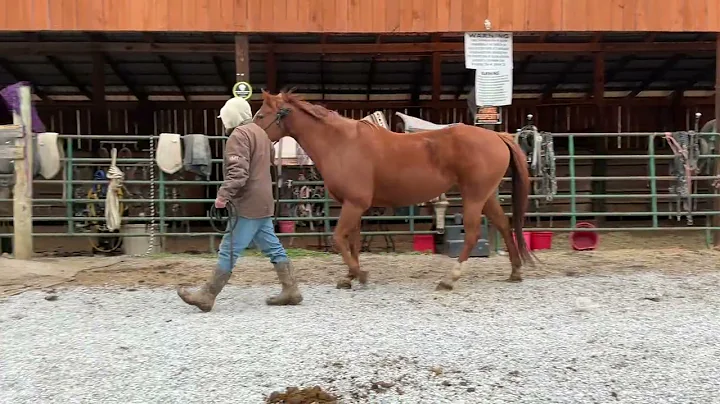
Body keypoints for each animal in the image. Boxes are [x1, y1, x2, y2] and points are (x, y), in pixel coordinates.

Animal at [253, 90, 535, 291]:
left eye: (260, 116)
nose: (246, 130)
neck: (341, 143)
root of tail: (498, 136)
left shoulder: (354, 204)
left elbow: (338, 239)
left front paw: (360, 275)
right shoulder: (355, 206)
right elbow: (353, 242)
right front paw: (349, 277)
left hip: (474, 197)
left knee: (474, 234)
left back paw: (449, 279)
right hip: (485, 196)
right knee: (504, 225)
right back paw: (516, 271)